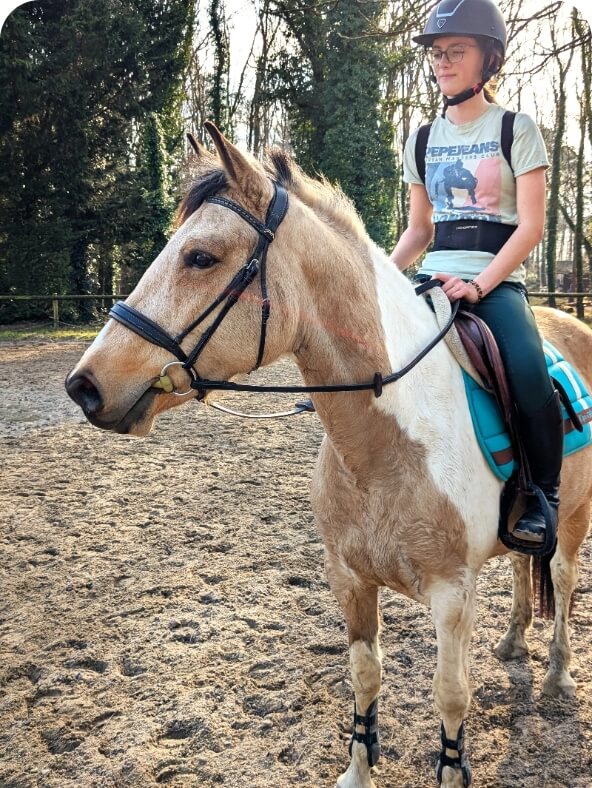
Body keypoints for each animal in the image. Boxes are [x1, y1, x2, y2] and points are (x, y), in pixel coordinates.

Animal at [65, 122, 591, 788]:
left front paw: (452, 767)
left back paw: (557, 673)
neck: (385, 446)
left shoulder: (452, 593)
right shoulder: (349, 579)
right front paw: (358, 770)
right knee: (525, 566)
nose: (85, 386)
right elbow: (365, 677)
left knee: (562, 576)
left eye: (201, 257)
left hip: (574, 515)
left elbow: (451, 695)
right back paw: (514, 643)